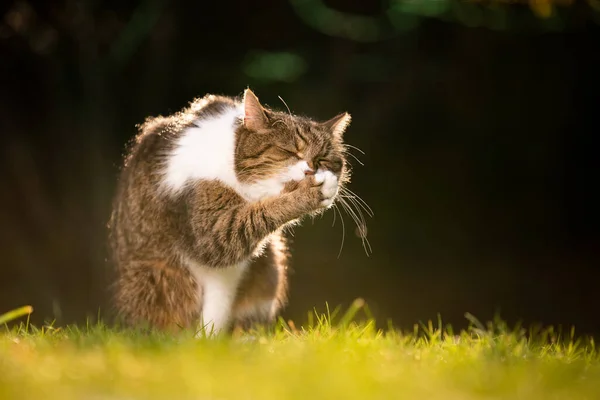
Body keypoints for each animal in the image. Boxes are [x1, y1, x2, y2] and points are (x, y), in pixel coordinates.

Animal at [109, 88, 352, 334]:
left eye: (322, 158)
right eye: (290, 151)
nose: (311, 171)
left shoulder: (231, 267)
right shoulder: (210, 232)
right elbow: (255, 217)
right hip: (149, 277)